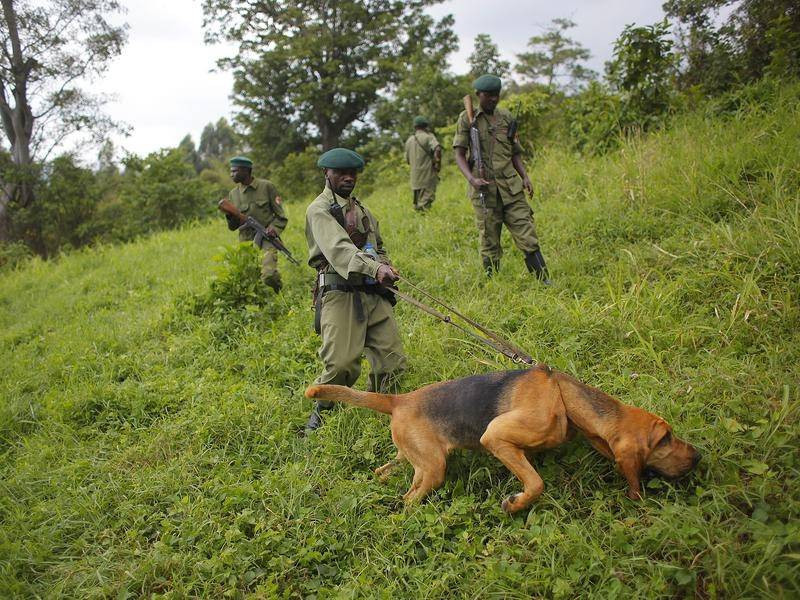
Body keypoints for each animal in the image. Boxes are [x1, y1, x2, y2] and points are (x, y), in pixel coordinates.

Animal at [306, 364, 700, 512]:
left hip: (414, 458)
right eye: (665, 438)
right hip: (433, 469)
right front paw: (516, 503)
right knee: (408, 499)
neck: (563, 396)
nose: (698, 457)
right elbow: (537, 484)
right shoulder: (494, 437)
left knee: (385, 471)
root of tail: (399, 399)